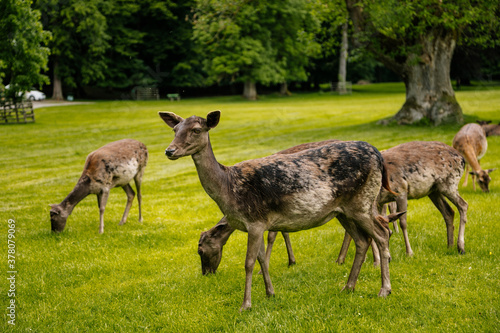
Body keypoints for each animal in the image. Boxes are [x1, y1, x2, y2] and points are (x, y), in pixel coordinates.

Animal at [159, 110, 402, 310]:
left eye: (196, 130)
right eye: (174, 129)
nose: (169, 150)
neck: (229, 189)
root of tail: (377, 153)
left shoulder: (255, 220)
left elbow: (248, 263)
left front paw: (246, 305)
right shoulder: (257, 225)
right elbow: (261, 259)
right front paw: (270, 293)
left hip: (363, 201)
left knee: (382, 233)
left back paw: (384, 290)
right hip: (344, 211)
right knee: (362, 240)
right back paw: (348, 287)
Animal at [336, 140, 468, 264]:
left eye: (390, 234)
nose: (388, 259)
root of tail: (462, 159)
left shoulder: (401, 190)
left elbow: (403, 222)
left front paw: (409, 252)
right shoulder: (379, 202)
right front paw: (375, 260)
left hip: (449, 182)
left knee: (463, 205)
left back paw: (460, 247)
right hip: (434, 190)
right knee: (448, 211)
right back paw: (449, 245)